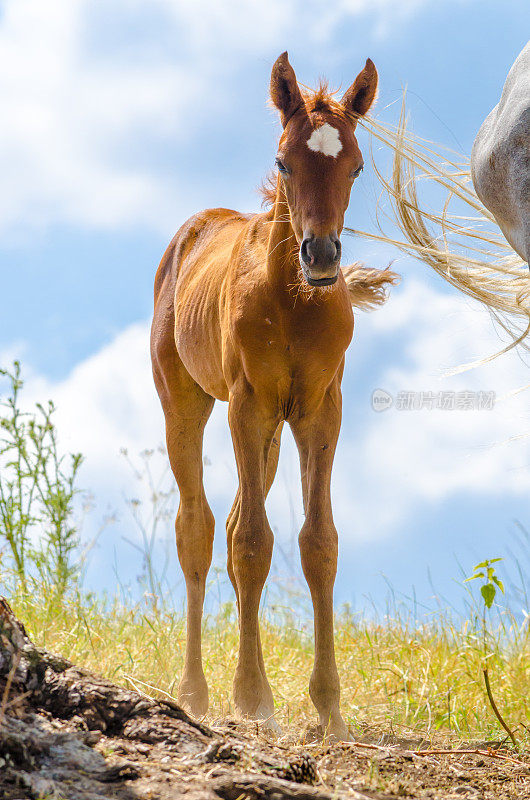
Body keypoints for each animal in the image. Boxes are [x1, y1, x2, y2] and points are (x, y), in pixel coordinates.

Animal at [151, 51, 386, 736]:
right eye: (284, 161)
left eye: (356, 165)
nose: (323, 255)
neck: (292, 300)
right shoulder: (248, 403)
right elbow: (252, 543)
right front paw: (253, 699)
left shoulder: (319, 410)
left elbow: (318, 542)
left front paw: (328, 707)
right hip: (189, 406)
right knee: (200, 530)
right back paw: (196, 691)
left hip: (274, 430)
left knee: (229, 524)